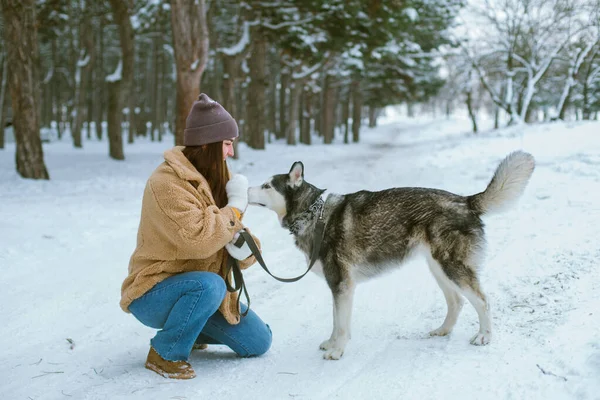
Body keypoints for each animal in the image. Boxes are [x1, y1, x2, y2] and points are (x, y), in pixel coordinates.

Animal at [247, 152, 536, 360]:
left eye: (266, 185)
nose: (246, 188)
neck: (313, 215)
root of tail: (466, 201)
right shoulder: (338, 287)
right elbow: (335, 321)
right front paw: (331, 343)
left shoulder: (341, 285)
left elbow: (341, 325)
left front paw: (337, 350)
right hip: (438, 269)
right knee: (456, 302)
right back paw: (443, 330)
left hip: (452, 267)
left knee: (483, 301)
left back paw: (485, 336)